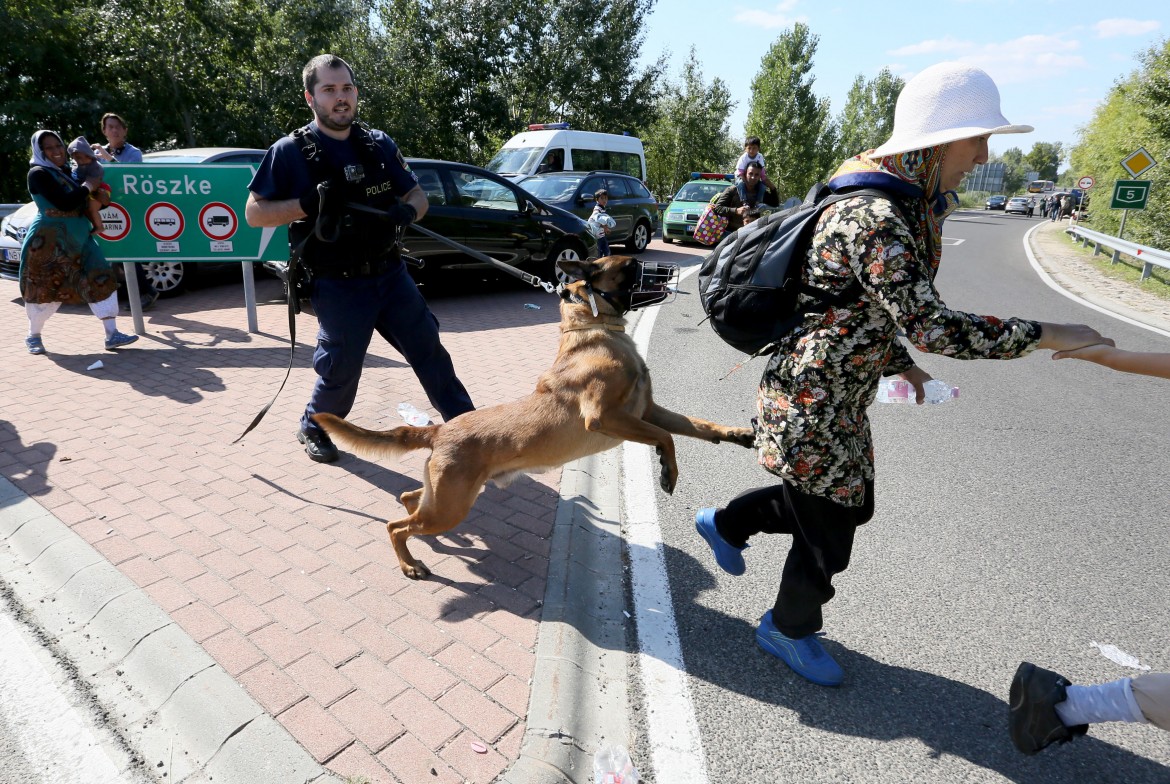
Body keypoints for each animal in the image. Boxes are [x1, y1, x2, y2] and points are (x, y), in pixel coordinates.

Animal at [313, 255, 748, 580]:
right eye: (630, 263)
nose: (676, 270)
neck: (595, 332)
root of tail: (440, 429)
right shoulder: (605, 418)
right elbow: (666, 437)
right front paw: (667, 471)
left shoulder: (649, 411)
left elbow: (694, 425)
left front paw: (737, 434)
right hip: (451, 507)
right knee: (394, 526)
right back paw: (409, 564)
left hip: (445, 498)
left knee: (407, 501)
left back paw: (423, 545)